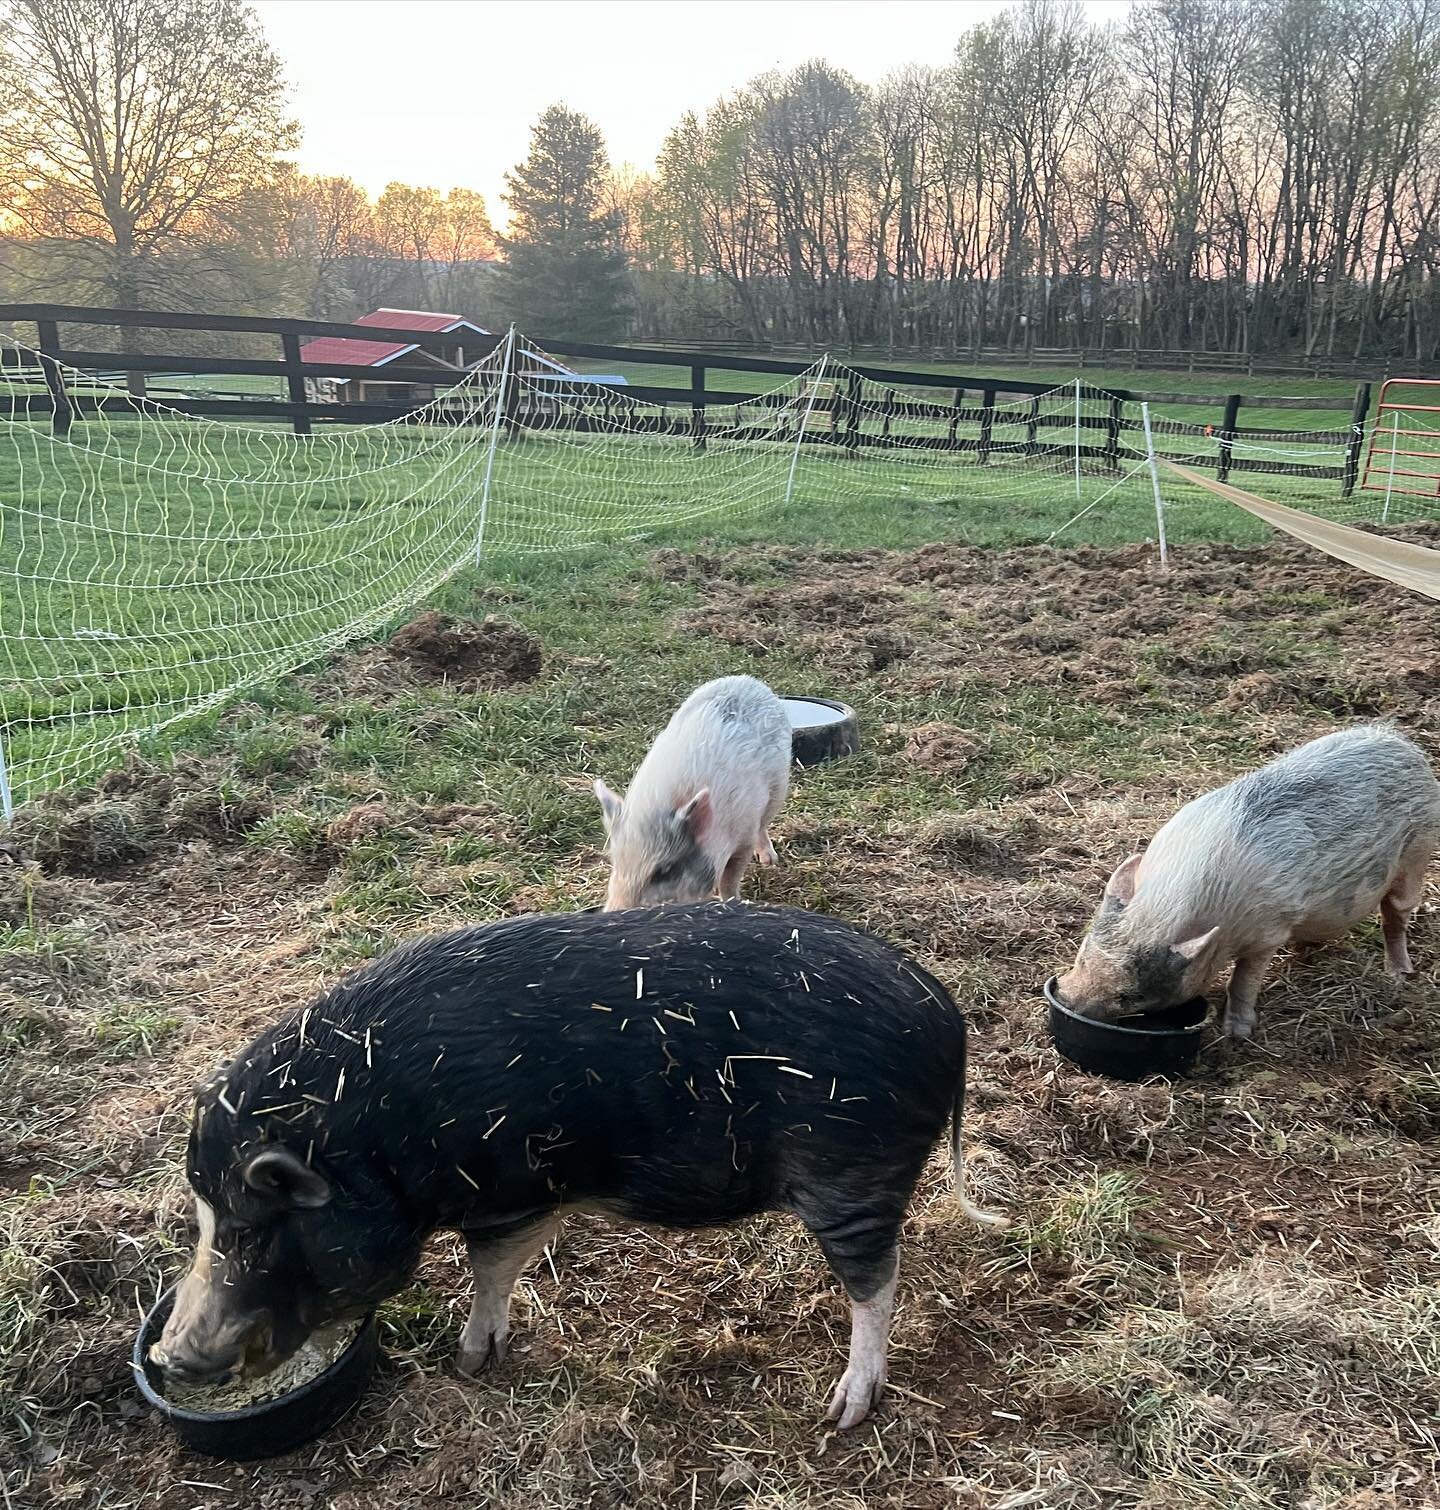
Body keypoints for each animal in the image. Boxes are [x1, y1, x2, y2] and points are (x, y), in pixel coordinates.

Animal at [145, 899, 996, 1431]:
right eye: (201, 1220)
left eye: (255, 1229)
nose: (169, 1354)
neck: (372, 1141)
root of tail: (947, 1015)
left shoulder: (512, 1192)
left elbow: (490, 1266)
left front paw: (470, 1362)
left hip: (853, 1171)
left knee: (878, 1281)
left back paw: (844, 1410)